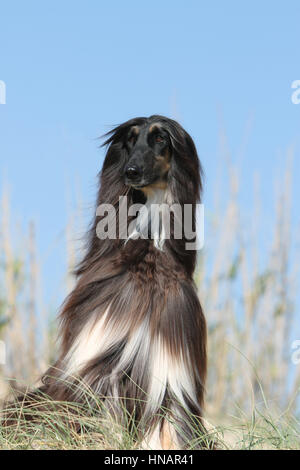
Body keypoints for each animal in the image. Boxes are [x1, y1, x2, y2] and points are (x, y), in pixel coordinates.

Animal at [9, 115, 207, 450]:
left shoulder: (171, 379)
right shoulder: (95, 364)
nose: (131, 171)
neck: (148, 259)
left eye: (160, 139)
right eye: (130, 139)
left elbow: (170, 428)